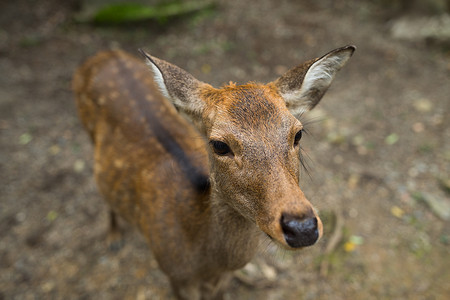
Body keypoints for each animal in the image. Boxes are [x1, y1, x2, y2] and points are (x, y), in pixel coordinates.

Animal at [73, 43, 356, 298]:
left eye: (298, 134)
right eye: (219, 145)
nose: (302, 228)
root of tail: (103, 54)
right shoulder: (174, 275)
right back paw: (113, 237)